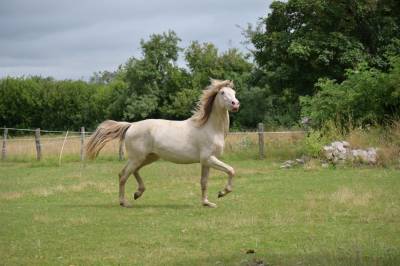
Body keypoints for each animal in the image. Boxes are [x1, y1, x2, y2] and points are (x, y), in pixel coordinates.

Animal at [85, 79, 239, 208]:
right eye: (222, 92)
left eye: (234, 93)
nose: (235, 104)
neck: (209, 128)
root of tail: (131, 125)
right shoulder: (209, 159)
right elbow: (231, 170)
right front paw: (222, 193)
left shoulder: (205, 162)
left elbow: (204, 182)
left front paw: (207, 203)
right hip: (138, 158)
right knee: (123, 175)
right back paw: (124, 202)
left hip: (149, 157)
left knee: (131, 171)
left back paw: (138, 193)